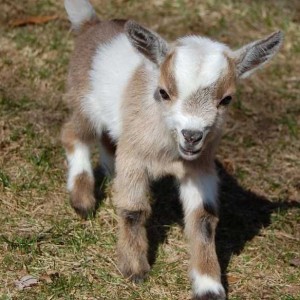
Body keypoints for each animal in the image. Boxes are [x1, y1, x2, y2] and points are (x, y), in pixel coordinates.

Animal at [62, 1, 282, 298]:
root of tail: (91, 24)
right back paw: (83, 200)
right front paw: (134, 269)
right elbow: (133, 210)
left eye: (226, 99)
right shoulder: (135, 155)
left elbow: (203, 219)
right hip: (85, 102)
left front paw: (209, 285)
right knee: (73, 134)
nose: (192, 135)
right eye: (163, 93)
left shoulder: (199, 167)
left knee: (108, 140)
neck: (168, 152)